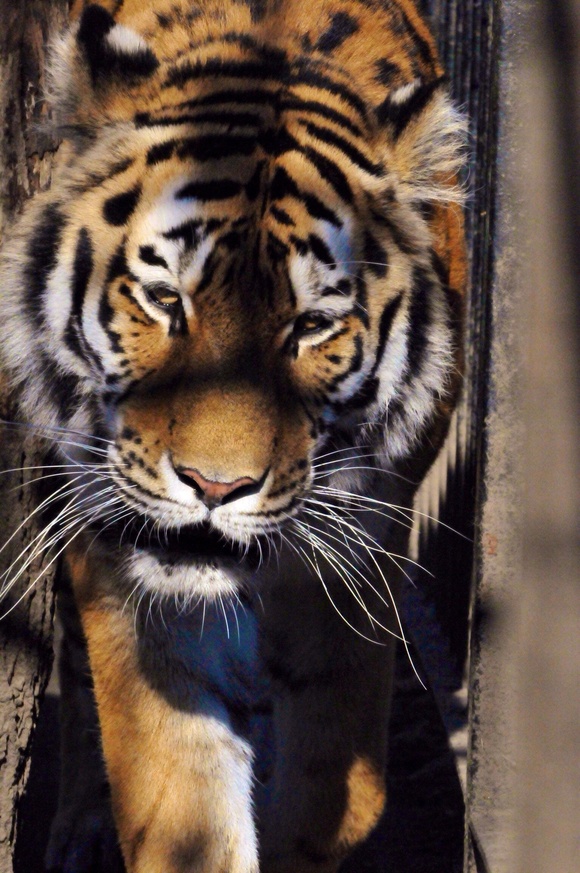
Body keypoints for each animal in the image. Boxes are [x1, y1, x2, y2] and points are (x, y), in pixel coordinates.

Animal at [0, 0, 464, 868]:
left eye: (311, 326)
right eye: (162, 300)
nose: (216, 487)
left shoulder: (359, 555)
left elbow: (333, 792)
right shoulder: (128, 570)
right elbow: (179, 800)